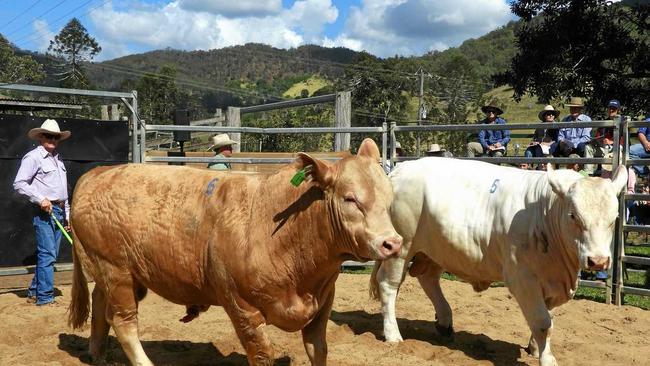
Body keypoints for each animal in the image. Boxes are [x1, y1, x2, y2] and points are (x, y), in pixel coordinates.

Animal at [67, 139, 400, 364]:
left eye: (389, 195)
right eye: (350, 198)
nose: (392, 243)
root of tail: (97, 174)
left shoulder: (322, 304)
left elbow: (318, 350)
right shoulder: (242, 307)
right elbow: (262, 354)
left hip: (115, 273)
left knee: (101, 306)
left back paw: (98, 355)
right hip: (116, 271)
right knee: (124, 323)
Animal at [372, 158, 624, 366]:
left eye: (614, 218)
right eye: (573, 215)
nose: (598, 261)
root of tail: (401, 168)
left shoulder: (552, 281)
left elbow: (547, 318)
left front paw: (535, 348)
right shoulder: (522, 279)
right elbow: (542, 321)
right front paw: (547, 359)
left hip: (436, 250)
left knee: (428, 279)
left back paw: (444, 323)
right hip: (402, 247)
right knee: (389, 286)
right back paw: (393, 334)